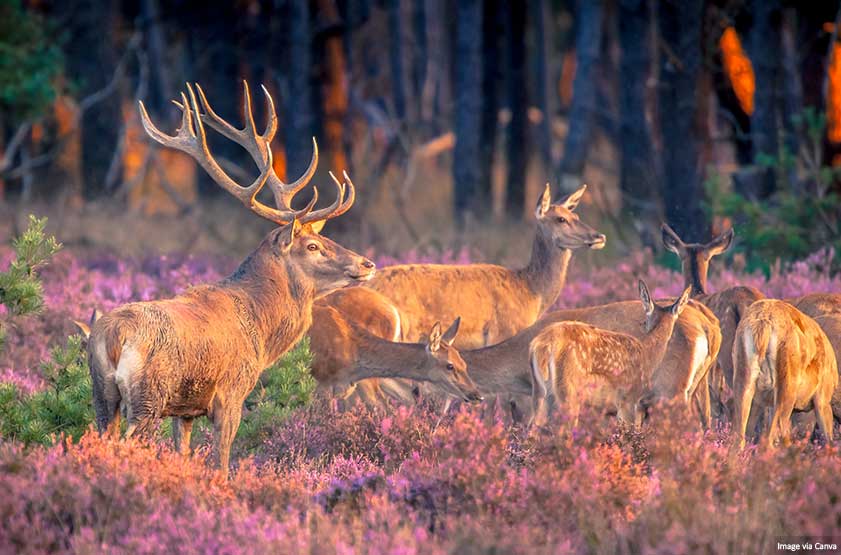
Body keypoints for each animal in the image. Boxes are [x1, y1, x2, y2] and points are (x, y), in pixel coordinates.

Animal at [85, 82, 376, 471]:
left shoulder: (185, 409)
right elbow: (222, 461)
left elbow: (184, 452)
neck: (263, 330)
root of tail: (114, 336)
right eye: (313, 245)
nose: (366, 264)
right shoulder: (231, 392)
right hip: (148, 395)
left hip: (101, 392)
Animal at [528, 282, 692, 428]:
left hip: (539, 391)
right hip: (569, 390)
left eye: (646, 320)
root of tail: (543, 344)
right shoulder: (628, 398)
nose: (642, 325)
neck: (647, 355)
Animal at [732, 300, 838, 448]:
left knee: (740, 438)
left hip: (744, 384)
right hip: (786, 389)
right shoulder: (822, 399)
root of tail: (764, 323)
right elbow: (828, 438)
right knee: (772, 438)